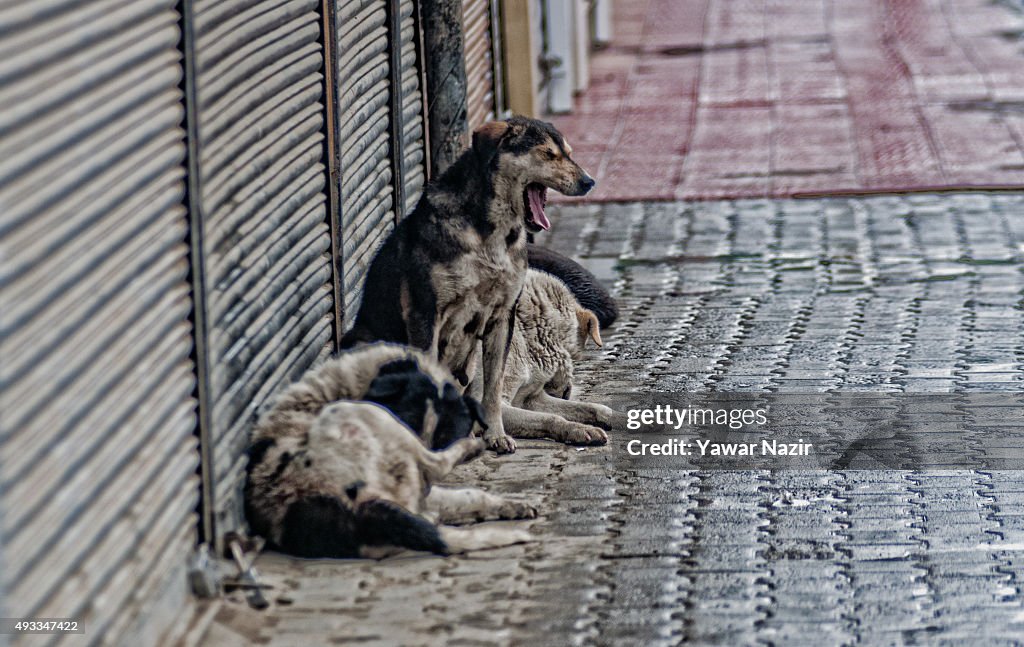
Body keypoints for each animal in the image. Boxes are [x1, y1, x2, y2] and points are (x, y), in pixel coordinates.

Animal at [245, 343, 536, 561]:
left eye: (443, 437)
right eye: (409, 420)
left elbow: (468, 496)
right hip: (360, 415)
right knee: (437, 467)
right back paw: (472, 448)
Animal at [339, 115, 598, 454]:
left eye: (568, 152)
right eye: (547, 154)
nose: (589, 182)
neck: (491, 233)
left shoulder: (501, 318)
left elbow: (495, 391)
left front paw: (496, 435)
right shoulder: (425, 315)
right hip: (365, 344)